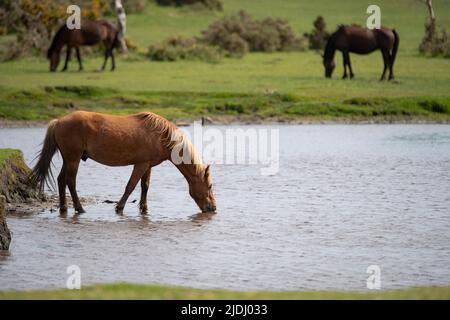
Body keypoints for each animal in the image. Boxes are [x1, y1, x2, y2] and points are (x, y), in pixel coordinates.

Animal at [29, 110, 216, 215]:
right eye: (210, 185)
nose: (213, 208)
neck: (161, 136)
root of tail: (58, 121)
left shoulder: (148, 165)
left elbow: (145, 186)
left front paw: (144, 209)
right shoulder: (140, 164)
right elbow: (130, 186)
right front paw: (119, 207)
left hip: (68, 159)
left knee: (61, 180)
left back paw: (64, 208)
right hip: (73, 159)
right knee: (70, 181)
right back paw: (80, 208)